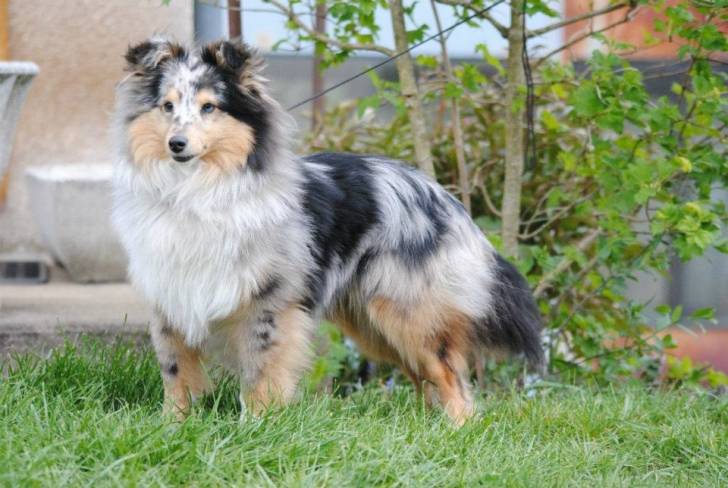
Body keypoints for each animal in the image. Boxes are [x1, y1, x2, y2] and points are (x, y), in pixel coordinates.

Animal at [112, 38, 543, 425]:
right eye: (167, 106)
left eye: (208, 107)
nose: (177, 144)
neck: (197, 191)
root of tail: (447, 199)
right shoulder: (171, 296)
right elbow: (176, 373)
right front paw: (173, 426)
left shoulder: (267, 305)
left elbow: (260, 372)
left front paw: (255, 426)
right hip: (372, 323)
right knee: (423, 376)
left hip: (408, 314)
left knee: (449, 375)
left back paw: (458, 429)